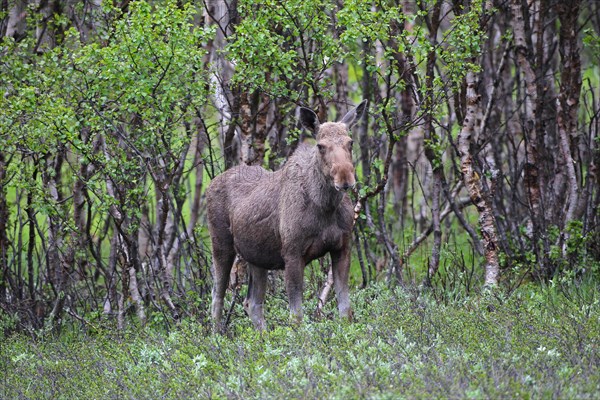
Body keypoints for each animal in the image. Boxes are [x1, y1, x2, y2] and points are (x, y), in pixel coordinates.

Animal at [206, 101, 366, 332]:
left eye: (350, 142)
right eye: (320, 146)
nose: (345, 179)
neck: (325, 207)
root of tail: (211, 183)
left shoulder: (342, 248)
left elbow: (346, 312)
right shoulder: (292, 253)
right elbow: (296, 317)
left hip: (257, 257)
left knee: (252, 303)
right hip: (221, 245)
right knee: (217, 297)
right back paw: (216, 336)